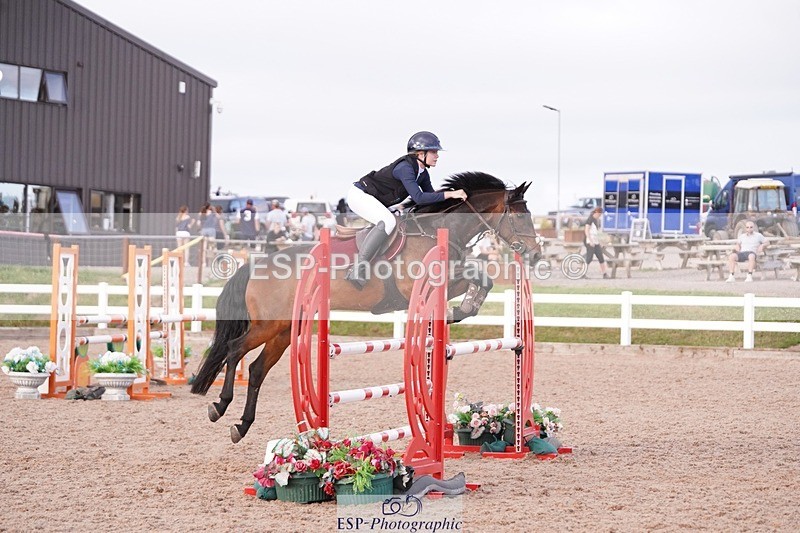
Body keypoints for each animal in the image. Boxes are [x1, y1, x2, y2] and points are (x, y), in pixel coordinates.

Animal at [191, 172, 543, 443]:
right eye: (519, 215)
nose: (536, 254)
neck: (437, 232)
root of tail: (256, 265)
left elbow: (481, 277)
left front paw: (462, 310)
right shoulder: (415, 285)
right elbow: (476, 275)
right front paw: (461, 309)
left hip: (284, 330)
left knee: (256, 369)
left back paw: (241, 426)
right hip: (270, 324)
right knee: (235, 349)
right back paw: (219, 407)